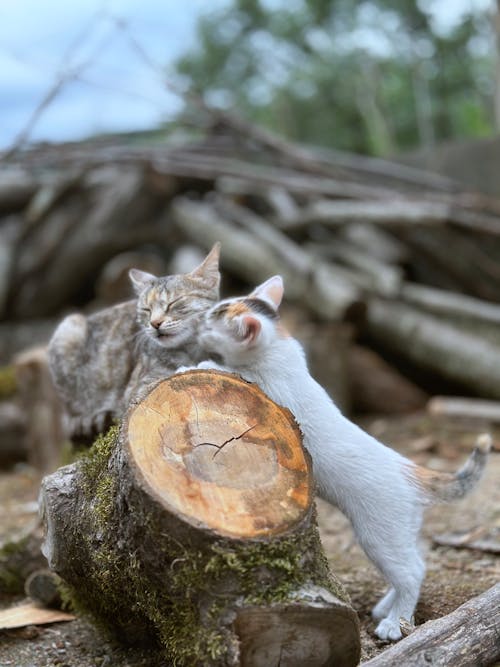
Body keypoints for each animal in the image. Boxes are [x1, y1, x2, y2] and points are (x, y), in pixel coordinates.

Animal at [178, 276, 490, 640]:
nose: (197, 325)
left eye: (212, 321)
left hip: (380, 533)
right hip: (403, 530)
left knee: (411, 571)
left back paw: (393, 623)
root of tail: (412, 471)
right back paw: (387, 607)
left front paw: (197, 365)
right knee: (419, 564)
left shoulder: (266, 388)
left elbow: (229, 371)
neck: (278, 348)